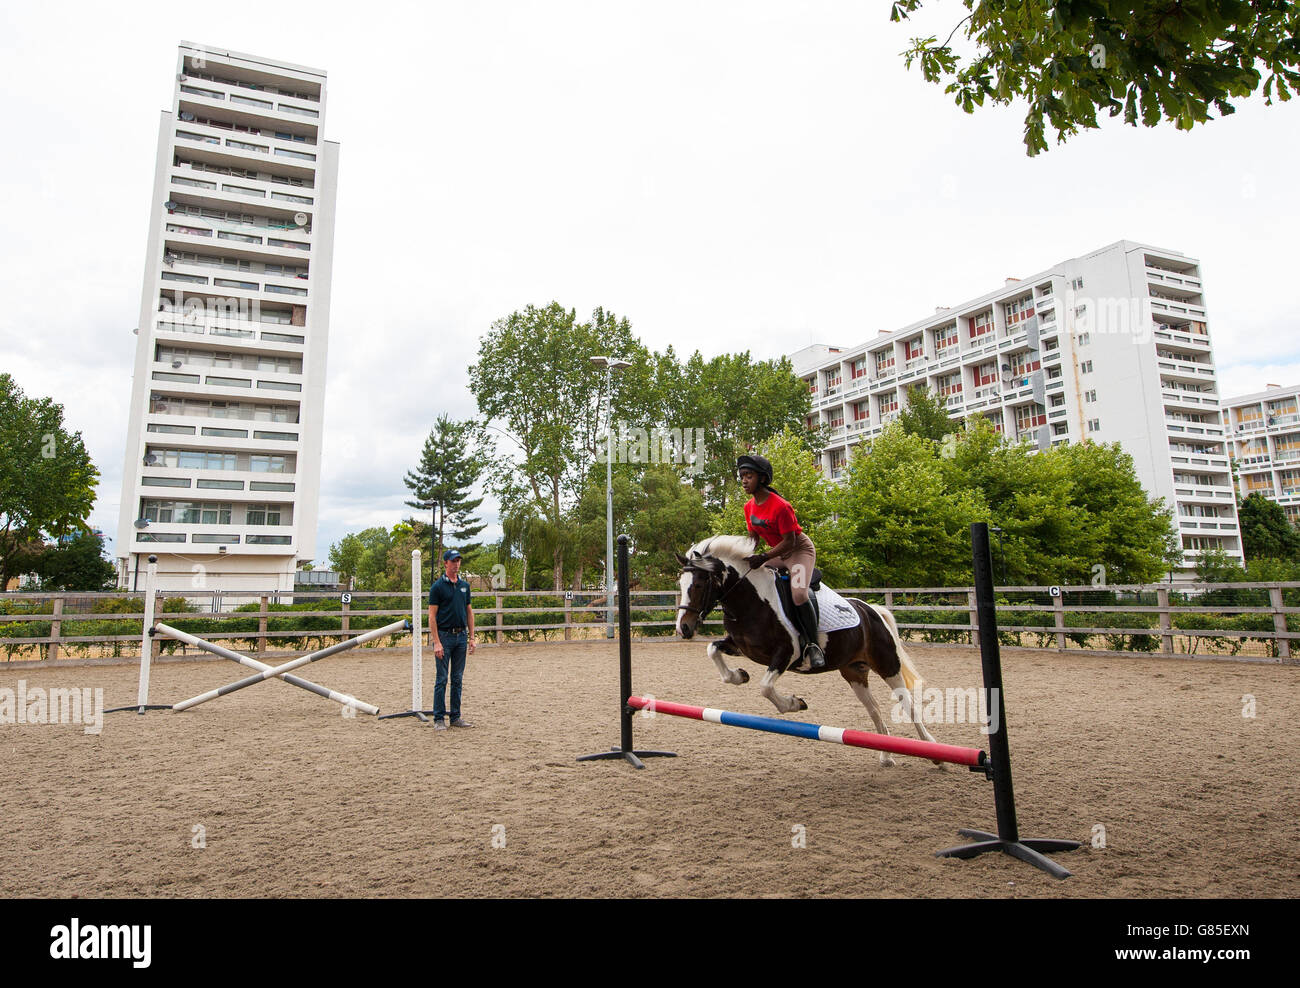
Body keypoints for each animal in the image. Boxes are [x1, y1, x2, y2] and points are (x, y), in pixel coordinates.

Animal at [676, 535, 941, 769]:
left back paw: (933, 752)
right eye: (680, 585)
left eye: (698, 584)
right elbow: (713, 650)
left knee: (908, 704)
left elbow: (765, 687)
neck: (751, 601)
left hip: (887, 665)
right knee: (874, 710)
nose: (684, 628)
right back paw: (886, 756)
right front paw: (739, 676)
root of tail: (872, 611)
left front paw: (794, 704)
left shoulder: (786, 653)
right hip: (854, 672)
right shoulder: (741, 647)